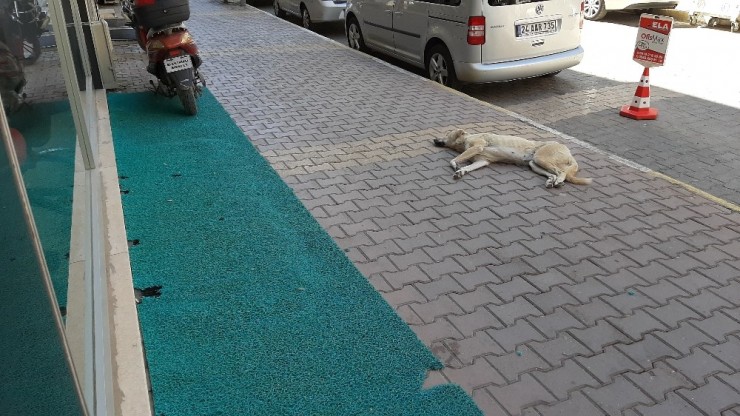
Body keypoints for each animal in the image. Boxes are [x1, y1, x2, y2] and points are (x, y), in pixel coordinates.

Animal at [430, 129, 592, 188]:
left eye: (446, 134)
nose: (434, 139)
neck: (465, 140)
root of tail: (568, 151)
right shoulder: (482, 161)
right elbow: (467, 167)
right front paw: (460, 171)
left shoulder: (477, 147)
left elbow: (454, 159)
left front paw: (455, 165)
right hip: (534, 163)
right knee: (553, 173)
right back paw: (552, 181)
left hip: (541, 157)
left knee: (561, 173)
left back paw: (558, 181)